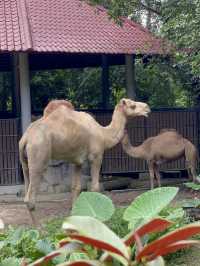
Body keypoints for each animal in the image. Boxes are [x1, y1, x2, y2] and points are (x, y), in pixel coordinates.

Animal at [18, 98, 150, 210]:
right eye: (132, 106)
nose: (147, 107)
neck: (103, 134)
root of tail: (25, 139)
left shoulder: (77, 161)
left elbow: (76, 187)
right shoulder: (96, 156)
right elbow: (95, 187)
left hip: (24, 160)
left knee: (26, 192)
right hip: (38, 155)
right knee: (30, 198)